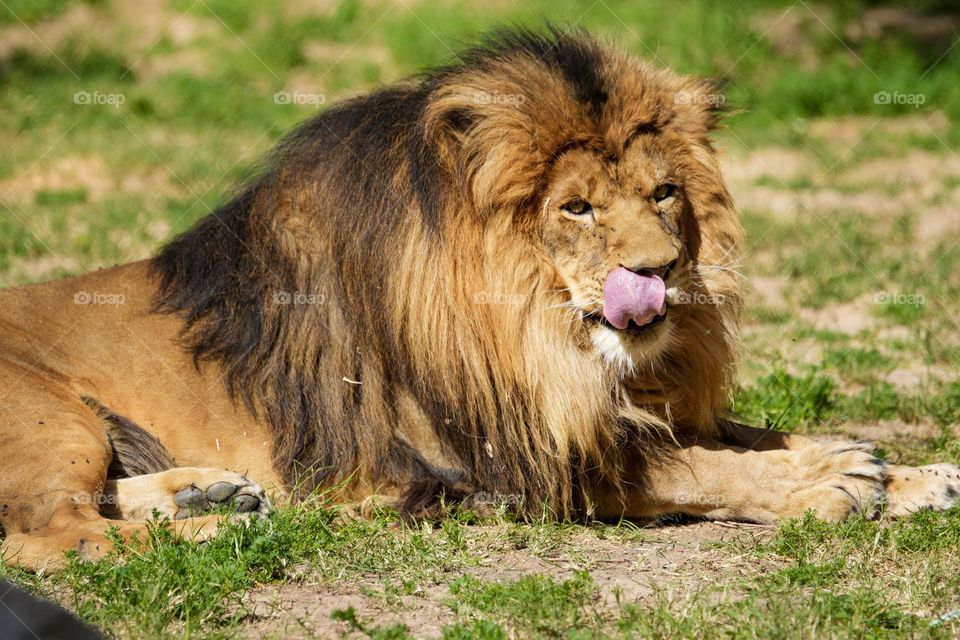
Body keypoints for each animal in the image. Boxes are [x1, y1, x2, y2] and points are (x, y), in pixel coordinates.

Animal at [1, 28, 958, 571]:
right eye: (576, 208)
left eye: (664, 195)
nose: (662, 274)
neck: (539, 328)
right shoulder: (512, 459)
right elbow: (704, 466)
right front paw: (835, 481)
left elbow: (748, 432)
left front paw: (910, 472)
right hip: (55, 421)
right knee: (56, 539)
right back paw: (223, 532)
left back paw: (214, 496)